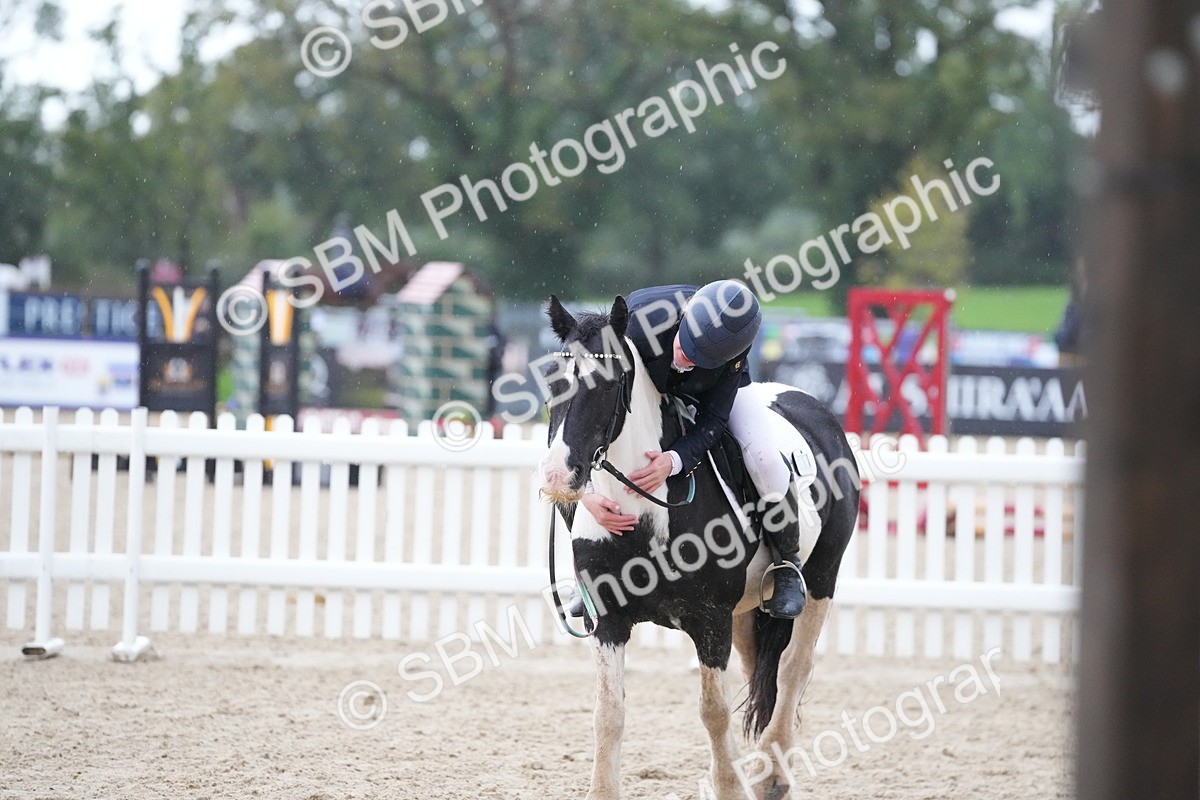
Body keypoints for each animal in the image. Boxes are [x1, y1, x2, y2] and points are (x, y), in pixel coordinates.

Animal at [537, 295, 860, 800]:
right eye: (553, 380)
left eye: (608, 383)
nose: (557, 477)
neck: (646, 513)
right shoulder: (608, 620)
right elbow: (608, 715)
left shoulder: (710, 623)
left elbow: (714, 712)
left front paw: (729, 786)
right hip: (748, 610)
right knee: (759, 670)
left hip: (821, 578)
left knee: (793, 669)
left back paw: (773, 775)